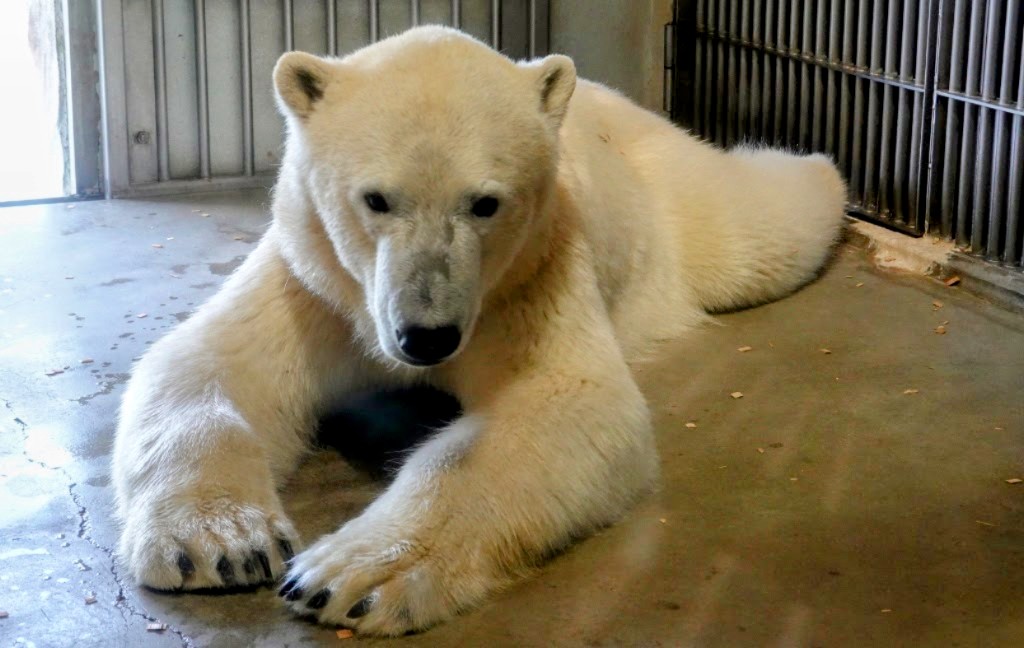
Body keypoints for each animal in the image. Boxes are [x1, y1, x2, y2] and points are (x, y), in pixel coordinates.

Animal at [112, 24, 847, 630]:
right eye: (375, 199)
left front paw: (351, 574)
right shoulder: (316, 280)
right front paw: (220, 544)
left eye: (486, 203)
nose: (425, 336)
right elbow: (212, 364)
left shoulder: (530, 277)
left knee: (757, 232)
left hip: (669, 205)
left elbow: (560, 402)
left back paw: (818, 165)